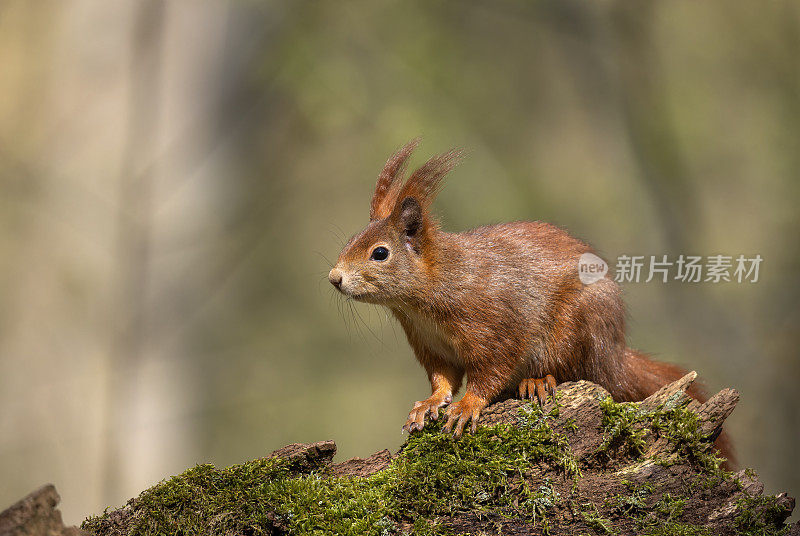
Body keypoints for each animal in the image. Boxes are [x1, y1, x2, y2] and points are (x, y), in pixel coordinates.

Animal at [328, 139, 736, 464]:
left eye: (380, 253)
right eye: (350, 240)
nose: (334, 278)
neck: (424, 299)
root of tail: (615, 355)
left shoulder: (493, 325)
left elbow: (491, 370)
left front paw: (467, 405)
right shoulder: (430, 345)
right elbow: (443, 378)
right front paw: (430, 404)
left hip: (576, 329)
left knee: (577, 371)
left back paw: (537, 381)